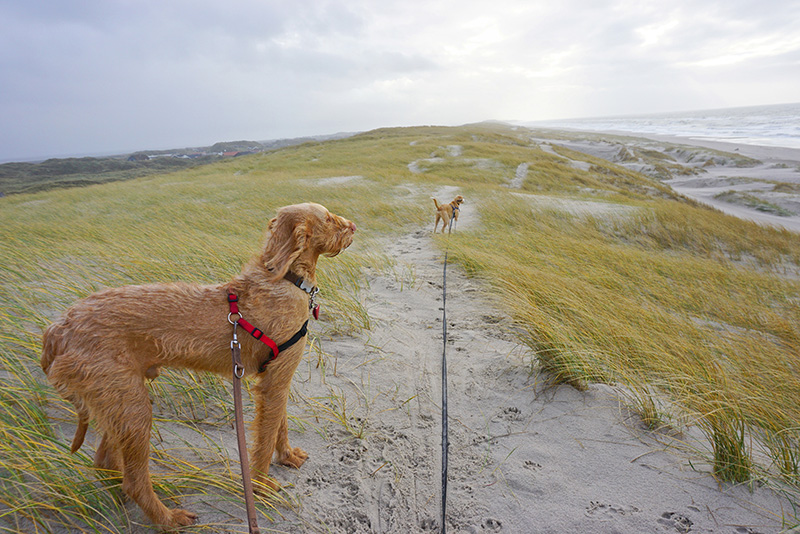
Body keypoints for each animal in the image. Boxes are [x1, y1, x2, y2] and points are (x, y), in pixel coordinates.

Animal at [39, 203, 356, 528]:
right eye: (328, 219)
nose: (354, 227)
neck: (286, 278)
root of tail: (57, 331)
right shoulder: (276, 380)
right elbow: (267, 437)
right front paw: (260, 485)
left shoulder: (275, 377)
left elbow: (280, 425)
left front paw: (288, 456)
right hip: (132, 408)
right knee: (134, 480)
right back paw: (168, 518)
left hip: (117, 404)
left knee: (106, 461)